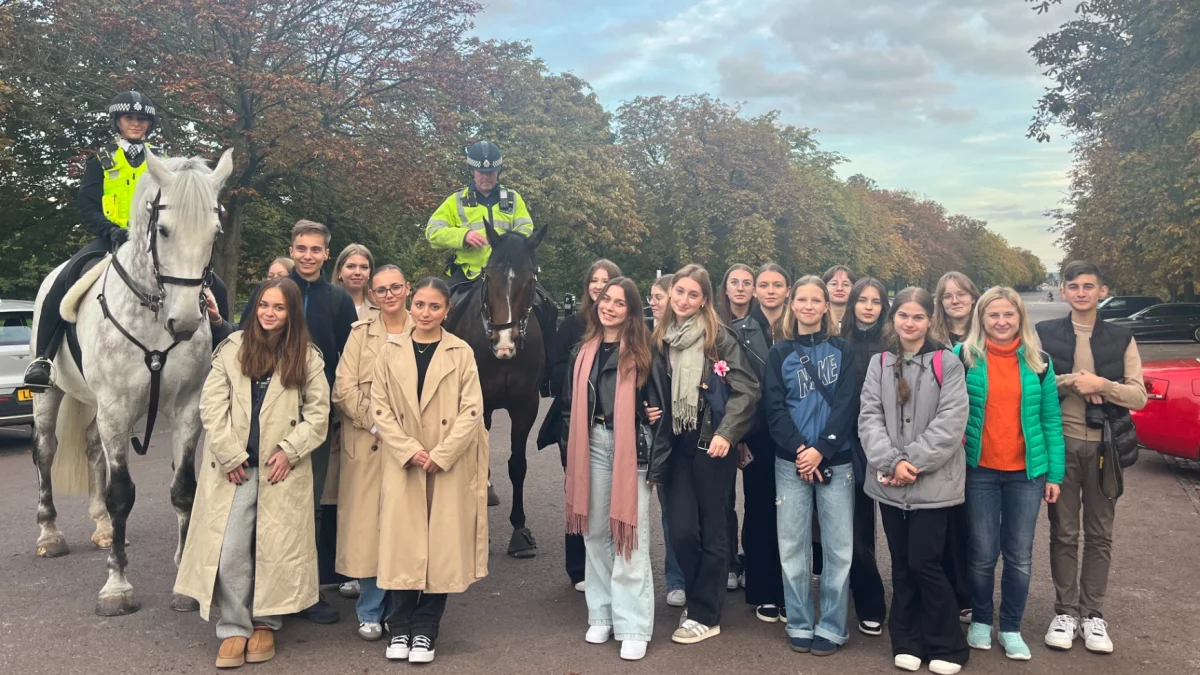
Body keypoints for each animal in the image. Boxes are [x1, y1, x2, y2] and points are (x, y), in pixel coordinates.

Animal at [30, 148, 232, 614]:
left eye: (214, 232)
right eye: (163, 229)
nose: (185, 322)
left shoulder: (186, 407)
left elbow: (183, 488)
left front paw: (184, 584)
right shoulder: (117, 409)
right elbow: (122, 493)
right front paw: (117, 586)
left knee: (92, 450)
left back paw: (104, 528)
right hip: (51, 396)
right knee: (45, 452)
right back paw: (50, 534)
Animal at [446, 216, 549, 557]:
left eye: (529, 281)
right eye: (488, 278)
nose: (504, 344)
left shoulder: (526, 405)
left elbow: (518, 465)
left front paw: (519, 531)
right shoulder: (479, 405)